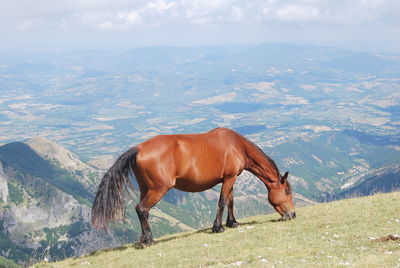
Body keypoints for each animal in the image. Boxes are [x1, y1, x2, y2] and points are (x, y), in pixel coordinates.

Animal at [92, 127, 296, 245]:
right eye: (287, 193)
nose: (293, 214)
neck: (237, 146)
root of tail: (138, 149)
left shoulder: (229, 179)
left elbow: (230, 201)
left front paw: (233, 223)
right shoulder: (229, 178)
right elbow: (222, 202)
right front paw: (218, 227)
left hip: (146, 189)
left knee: (143, 211)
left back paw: (145, 238)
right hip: (158, 190)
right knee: (141, 209)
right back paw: (149, 240)